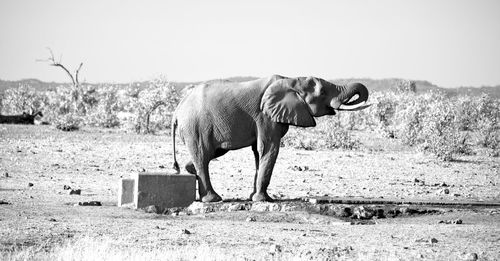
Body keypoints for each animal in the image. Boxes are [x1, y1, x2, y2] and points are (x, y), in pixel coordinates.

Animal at [170, 74, 370, 202]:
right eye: (322, 93)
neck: (291, 80)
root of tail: (177, 110)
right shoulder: (265, 116)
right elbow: (268, 148)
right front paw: (264, 200)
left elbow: (259, 153)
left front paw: (254, 198)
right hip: (196, 126)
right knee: (203, 155)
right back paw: (213, 199)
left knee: (210, 153)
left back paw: (190, 171)